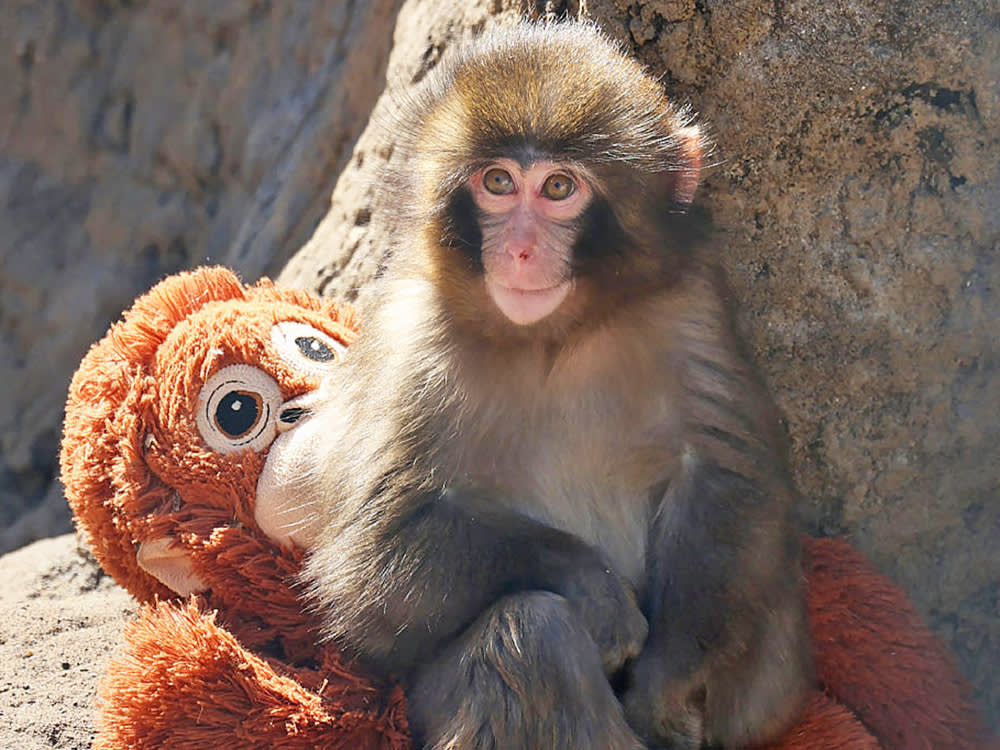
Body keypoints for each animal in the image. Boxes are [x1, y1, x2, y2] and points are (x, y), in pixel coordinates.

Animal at [294, 20, 813, 750]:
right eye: (498, 182)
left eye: (560, 189)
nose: (519, 250)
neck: (553, 337)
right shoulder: (410, 338)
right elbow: (374, 555)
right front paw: (590, 585)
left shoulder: (690, 303)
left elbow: (723, 476)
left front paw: (667, 682)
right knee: (530, 633)